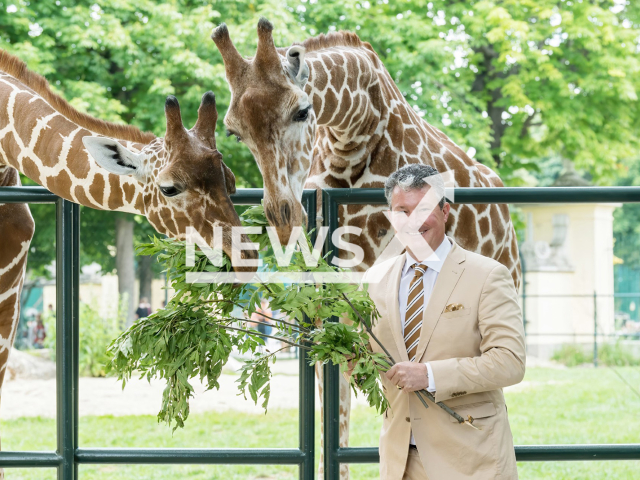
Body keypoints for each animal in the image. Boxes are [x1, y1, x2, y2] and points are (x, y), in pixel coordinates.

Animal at [212, 17, 524, 476]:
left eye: (303, 110)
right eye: (234, 131)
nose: (285, 218)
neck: (354, 138)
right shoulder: (328, 315)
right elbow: (334, 424)